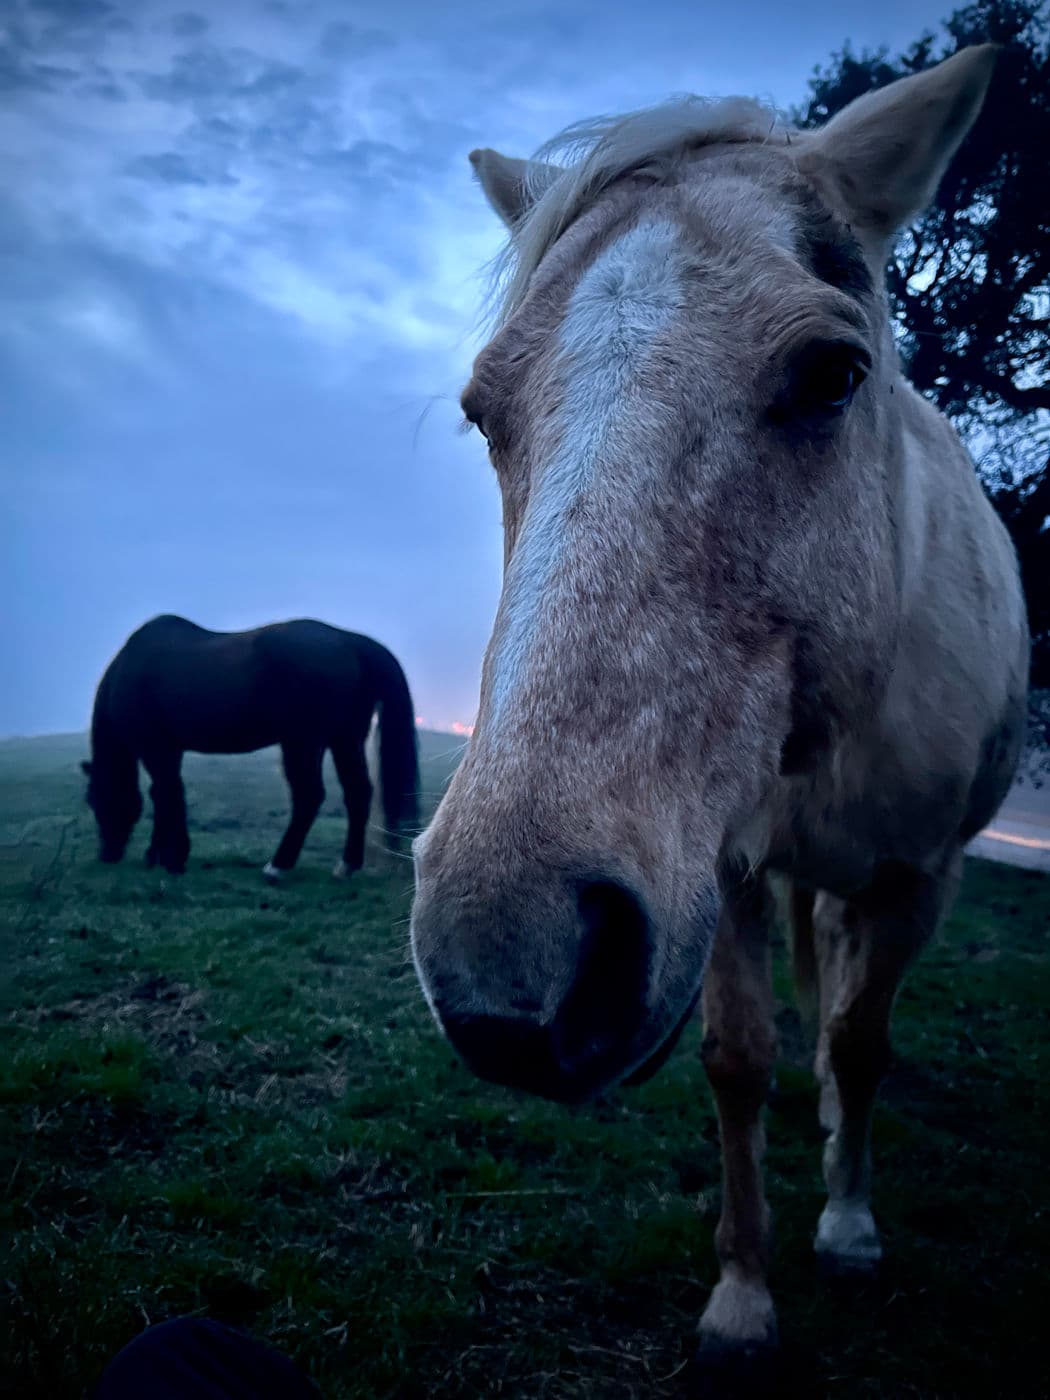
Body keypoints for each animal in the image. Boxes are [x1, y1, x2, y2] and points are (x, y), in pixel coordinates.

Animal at [82, 615, 419, 879]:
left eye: (95, 799)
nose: (106, 854)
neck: (126, 669)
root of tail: (349, 641)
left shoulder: (155, 748)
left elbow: (166, 794)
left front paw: (172, 858)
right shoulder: (169, 750)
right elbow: (165, 794)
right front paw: (160, 854)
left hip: (302, 742)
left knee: (309, 796)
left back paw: (278, 866)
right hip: (345, 738)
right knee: (357, 792)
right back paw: (346, 866)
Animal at [410, 46, 1029, 1375]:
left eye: (834, 373)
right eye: (485, 411)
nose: (511, 969)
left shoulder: (922, 874)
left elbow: (861, 1037)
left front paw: (848, 1223)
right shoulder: (727, 864)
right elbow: (739, 1060)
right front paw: (743, 1293)